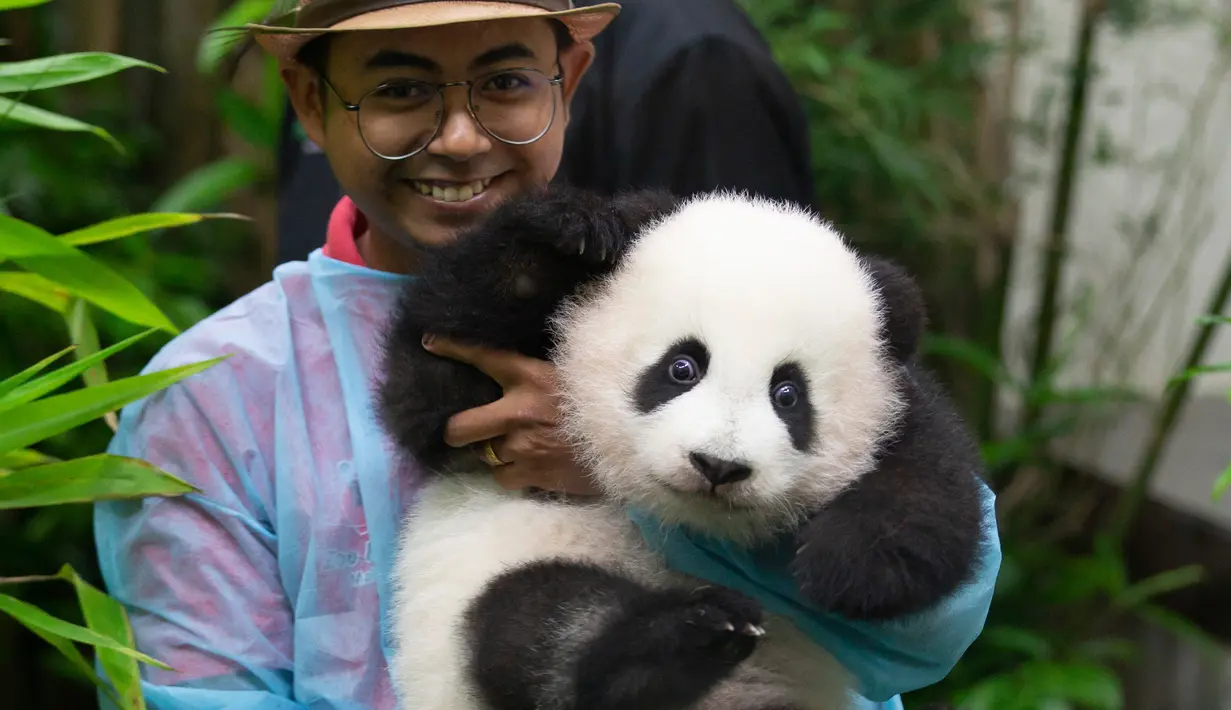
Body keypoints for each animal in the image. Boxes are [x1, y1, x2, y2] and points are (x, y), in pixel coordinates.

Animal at [374, 185, 986, 710]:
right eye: (682, 367)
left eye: (788, 394)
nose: (718, 466)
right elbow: (427, 384)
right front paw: (563, 233)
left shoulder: (898, 397)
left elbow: (932, 481)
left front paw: (846, 564)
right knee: (535, 624)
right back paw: (683, 639)